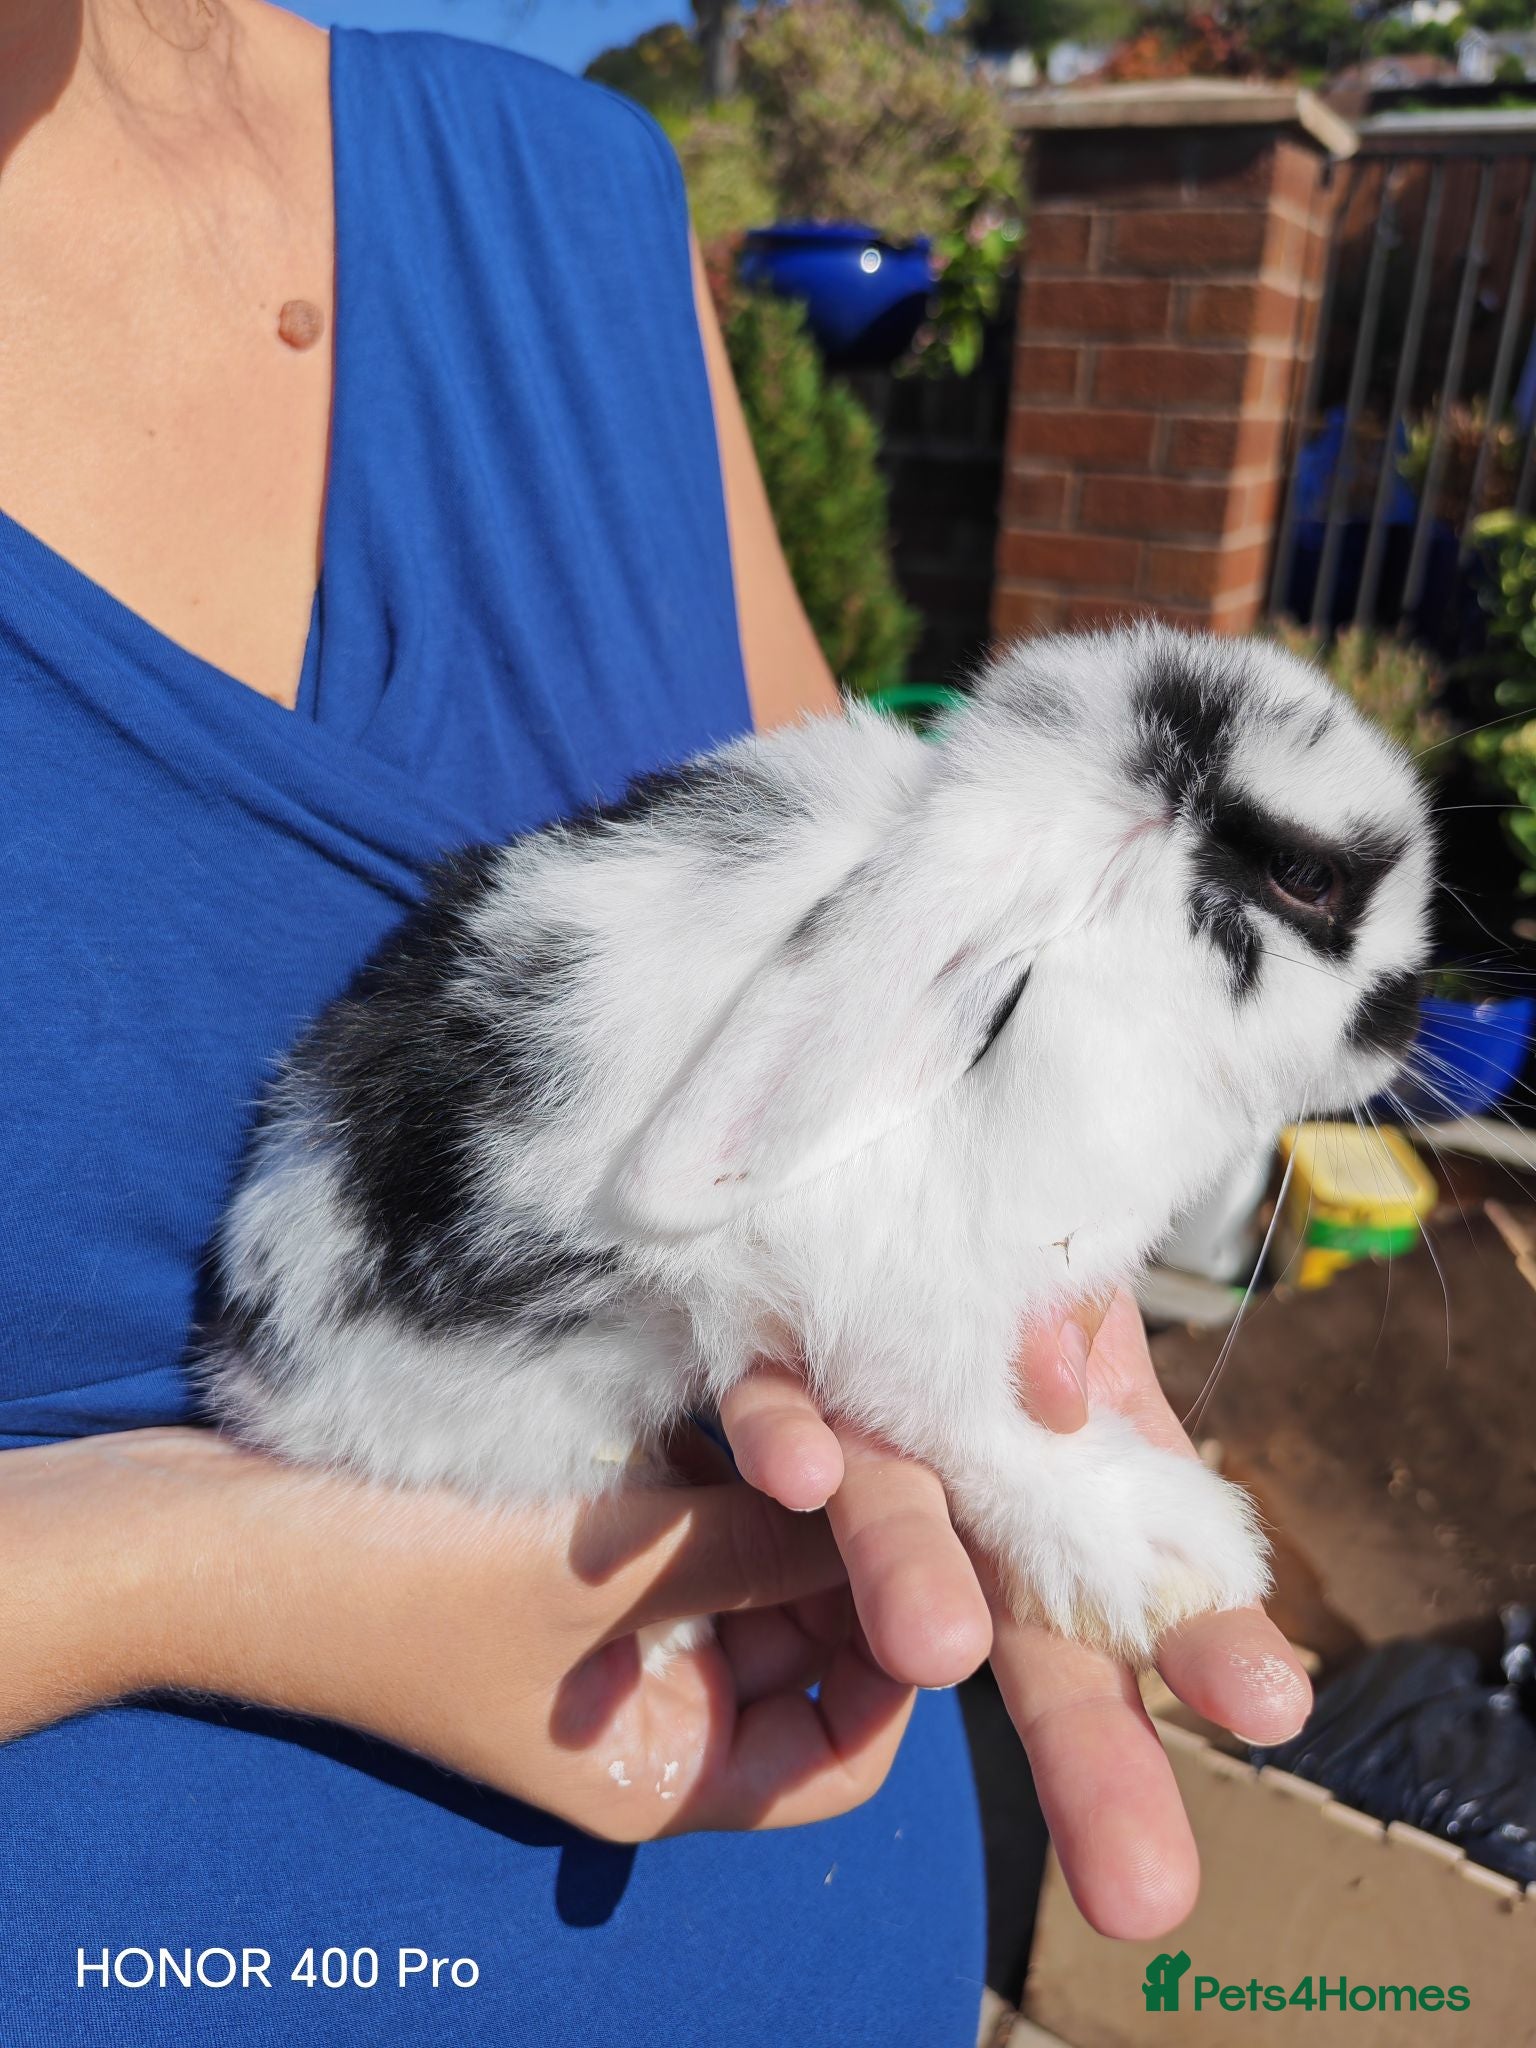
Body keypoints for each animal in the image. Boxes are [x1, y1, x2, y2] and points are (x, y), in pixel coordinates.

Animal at [201, 624, 1434, 1662]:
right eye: (1308, 877)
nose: (1405, 1020)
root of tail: (240, 1361)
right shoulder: (903, 1300)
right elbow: (974, 1429)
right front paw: (1167, 1550)